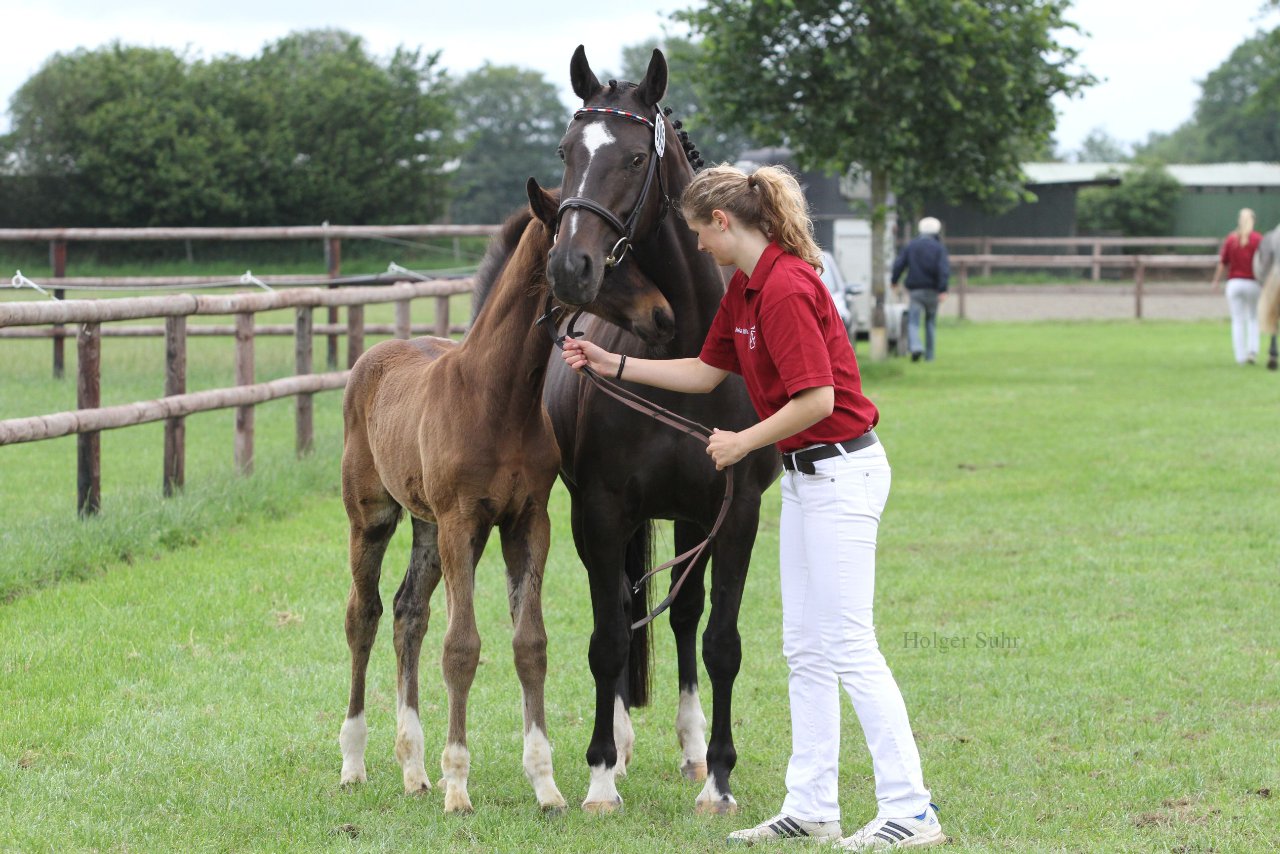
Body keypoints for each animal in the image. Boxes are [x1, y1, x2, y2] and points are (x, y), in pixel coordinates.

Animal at [335, 181, 675, 814]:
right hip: (374, 517)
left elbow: (530, 644)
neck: (497, 395)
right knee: (363, 615)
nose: (663, 315)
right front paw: (458, 786)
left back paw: (414, 769)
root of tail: (373, 356)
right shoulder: (461, 522)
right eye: (612, 258)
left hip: (424, 527)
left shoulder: (527, 522)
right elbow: (462, 647)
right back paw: (354, 762)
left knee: (408, 613)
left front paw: (546, 784)